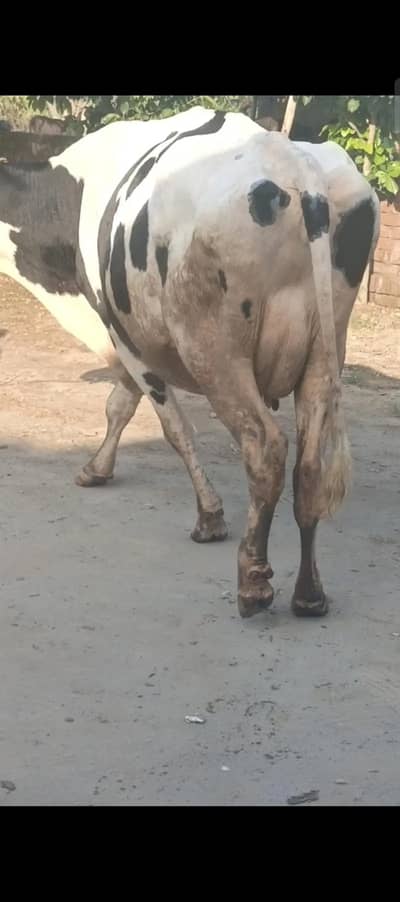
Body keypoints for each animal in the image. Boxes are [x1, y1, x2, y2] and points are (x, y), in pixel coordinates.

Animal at [0, 106, 380, 618]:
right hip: (326, 348)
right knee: (310, 465)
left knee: (265, 447)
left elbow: (168, 425)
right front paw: (97, 468)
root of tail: (299, 172)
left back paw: (253, 582)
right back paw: (309, 593)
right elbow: (121, 405)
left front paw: (209, 516)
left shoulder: (123, 333)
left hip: (212, 347)